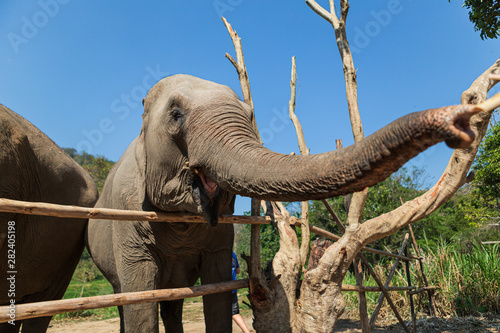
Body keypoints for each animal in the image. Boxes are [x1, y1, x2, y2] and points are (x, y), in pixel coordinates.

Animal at [86, 74, 476, 330]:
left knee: (173, 304)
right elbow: (140, 299)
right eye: (176, 114)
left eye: (249, 114)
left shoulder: (222, 234)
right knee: (128, 297)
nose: (462, 121)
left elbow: (217, 292)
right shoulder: (127, 213)